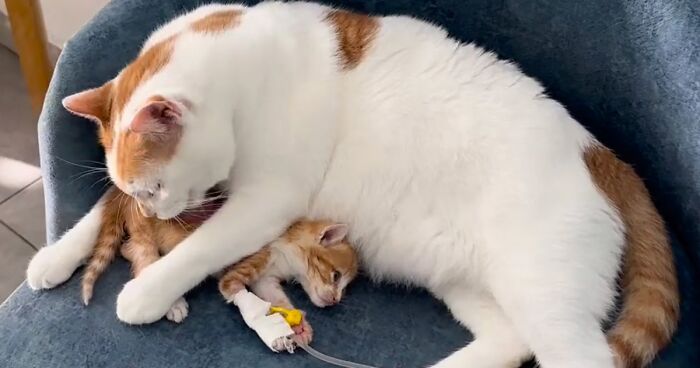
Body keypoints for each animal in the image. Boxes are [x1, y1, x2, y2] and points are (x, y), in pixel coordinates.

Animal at [80, 185, 358, 340]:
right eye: (335, 276)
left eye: (344, 287)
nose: (335, 300)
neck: (284, 252)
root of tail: (125, 195)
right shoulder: (251, 260)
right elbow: (234, 290)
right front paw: (270, 328)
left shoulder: (266, 278)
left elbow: (275, 297)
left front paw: (298, 325)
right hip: (145, 231)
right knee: (141, 254)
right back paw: (174, 304)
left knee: (127, 248)